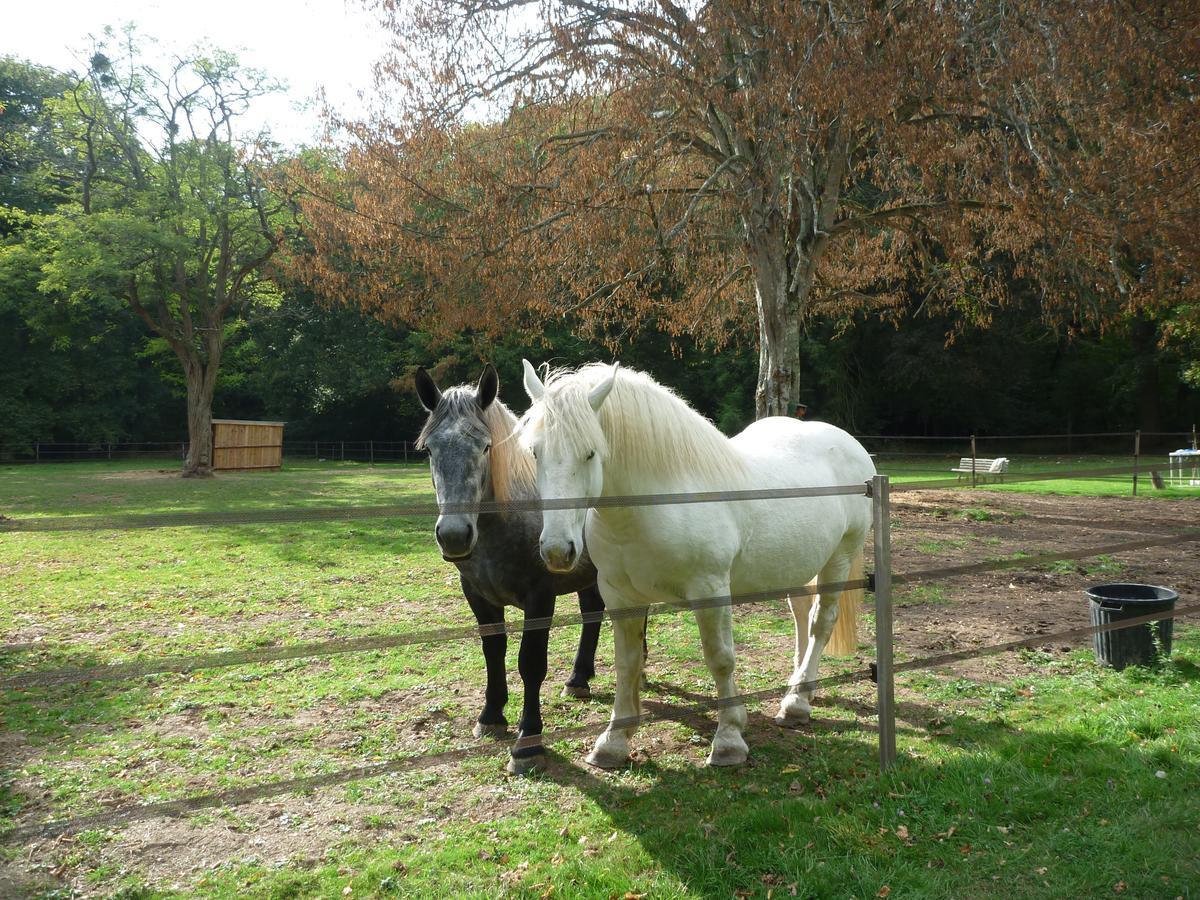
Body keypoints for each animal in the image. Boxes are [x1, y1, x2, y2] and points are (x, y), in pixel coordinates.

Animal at [415, 364, 604, 777]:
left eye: (485, 447)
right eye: (430, 449)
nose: (454, 536)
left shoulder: (540, 598)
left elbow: (530, 663)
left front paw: (528, 742)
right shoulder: (478, 596)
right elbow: (493, 651)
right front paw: (491, 717)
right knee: (593, 614)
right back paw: (579, 679)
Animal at [520, 362, 878, 772]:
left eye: (590, 453)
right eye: (535, 451)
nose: (557, 551)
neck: (661, 501)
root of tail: (851, 446)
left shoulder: (710, 591)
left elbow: (720, 659)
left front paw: (729, 739)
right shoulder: (620, 596)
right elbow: (627, 664)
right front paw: (612, 742)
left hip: (840, 557)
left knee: (821, 621)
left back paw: (797, 703)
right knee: (801, 616)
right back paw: (798, 686)